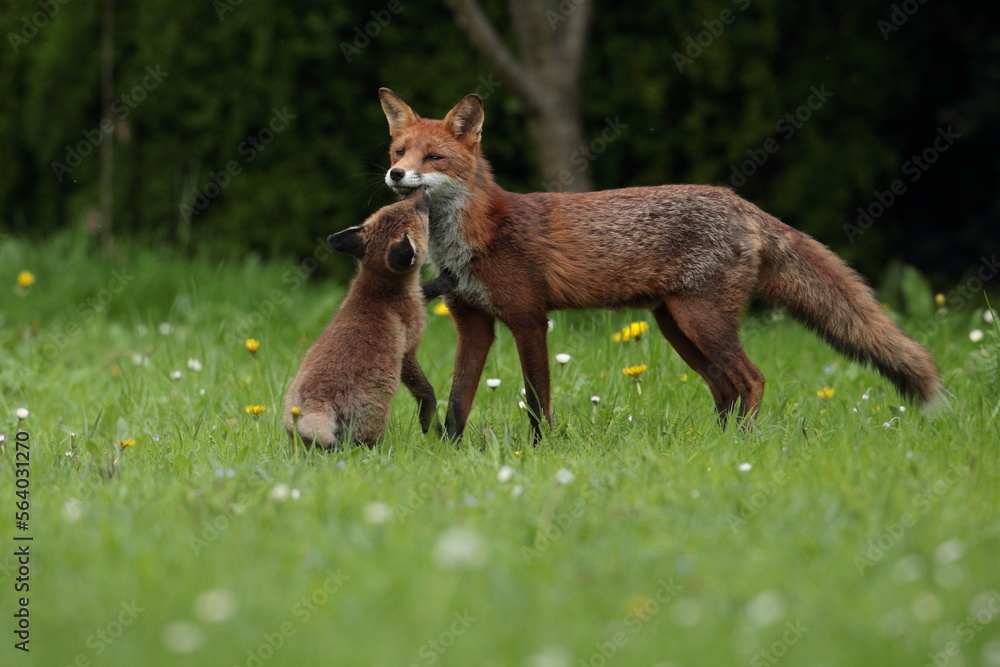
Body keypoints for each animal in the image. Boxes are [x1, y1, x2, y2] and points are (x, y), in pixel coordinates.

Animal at [282, 188, 445, 448]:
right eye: (417, 211)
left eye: (398, 204)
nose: (419, 191)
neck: (376, 290)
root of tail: (316, 402)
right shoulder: (408, 351)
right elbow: (425, 391)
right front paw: (432, 426)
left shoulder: (416, 297)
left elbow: (426, 289)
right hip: (374, 422)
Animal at [377, 88, 946, 442]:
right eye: (399, 151)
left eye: (434, 158)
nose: (395, 175)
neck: (473, 238)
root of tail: (742, 203)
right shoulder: (473, 322)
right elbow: (458, 402)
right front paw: (449, 454)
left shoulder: (528, 319)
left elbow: (537, 400)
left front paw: (538, 451)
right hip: (677, 326)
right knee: (725, 386)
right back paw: (718, 446)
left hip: (701, 320)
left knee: (752, 379)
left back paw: (741, 448)